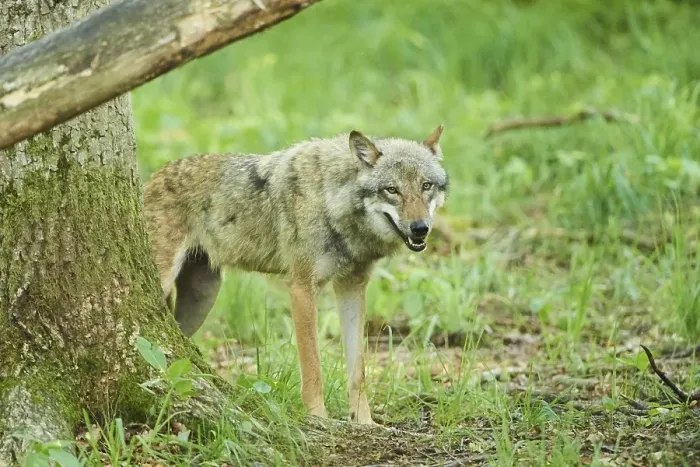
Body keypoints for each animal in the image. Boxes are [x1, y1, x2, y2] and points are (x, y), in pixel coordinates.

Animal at [143, 125, 449, 424]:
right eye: (392, 190)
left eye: (426, 186)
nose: (420, 228)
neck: (333, 203)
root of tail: (150, 179)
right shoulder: (302, 288)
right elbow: (312, 368)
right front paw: (318, 420)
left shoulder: (352, 287)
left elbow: (358, 370)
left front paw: (365, 423)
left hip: (201, 302)